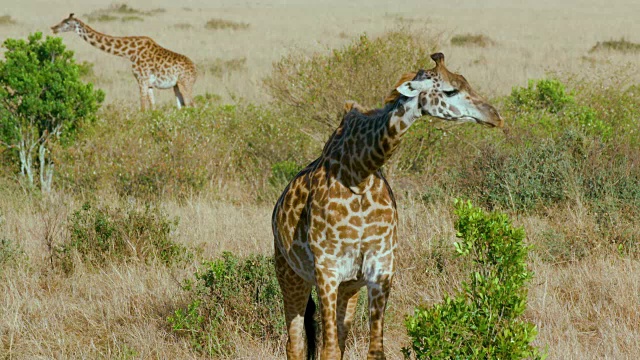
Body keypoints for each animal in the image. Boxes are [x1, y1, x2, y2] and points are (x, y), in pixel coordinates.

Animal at [51, 13, 196, 110]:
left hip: (185, 83)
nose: (53, 28)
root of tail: (195, 70)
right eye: (62, 20)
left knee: (192, 105)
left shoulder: (141, 80)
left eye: (67, 23)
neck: (130, 53)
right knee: (183, 107)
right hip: (177, 86)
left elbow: (142, 109)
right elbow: (153, 109)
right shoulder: (148, 84)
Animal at [272, 52, 502, 360]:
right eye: (450, 90)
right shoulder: (327, 269)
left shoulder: (379, 268)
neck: (359, 174)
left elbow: (374, 351)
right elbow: (327, 350)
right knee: (296, 344)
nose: (495, 116)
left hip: (349, 287)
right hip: (289, 273)